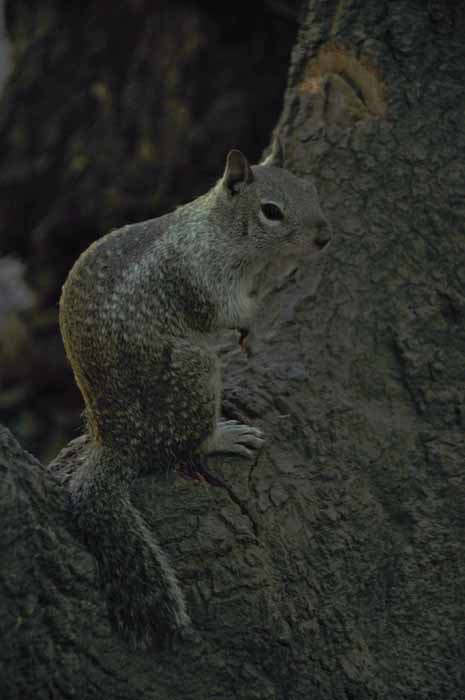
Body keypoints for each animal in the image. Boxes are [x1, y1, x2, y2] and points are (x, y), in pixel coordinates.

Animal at [58, 142, 330, 652]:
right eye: (271, 212)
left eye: (311, 189)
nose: (324, 237)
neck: (219, 230)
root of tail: (117, 442)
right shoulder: (200, 279)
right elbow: (228, 311)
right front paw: (255, 314)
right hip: (192, 375)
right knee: (187, 442)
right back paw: (222, 437)